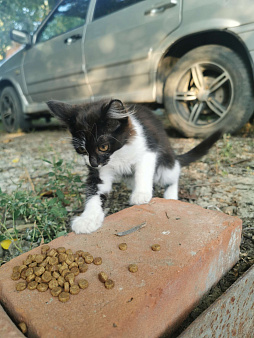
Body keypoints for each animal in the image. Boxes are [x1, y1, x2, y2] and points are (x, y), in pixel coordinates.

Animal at [47, 99, 222, 234]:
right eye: (82, 149)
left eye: (103, 147)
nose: (94, 163)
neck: (117, 155)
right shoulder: (99, 171)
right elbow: (94, 192)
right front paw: (88, 219)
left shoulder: (148, 150)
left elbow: (143, 172)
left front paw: (141, 194)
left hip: (165, 162)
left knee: (173, 174)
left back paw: (170, 196)